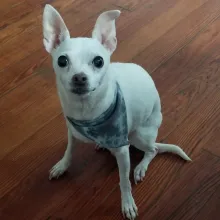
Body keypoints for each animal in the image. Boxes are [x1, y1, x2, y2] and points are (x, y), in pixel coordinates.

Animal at [42, 4, 191, 218]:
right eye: (62, 61)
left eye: (98, 61)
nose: (79, 78)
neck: (86, 111)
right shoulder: (72, 130)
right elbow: (69, 150)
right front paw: (62, 166)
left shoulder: (122, 150)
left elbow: (124, 181)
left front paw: (127, 203)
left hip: (139, 136)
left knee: (153, 150)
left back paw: (140, 167)